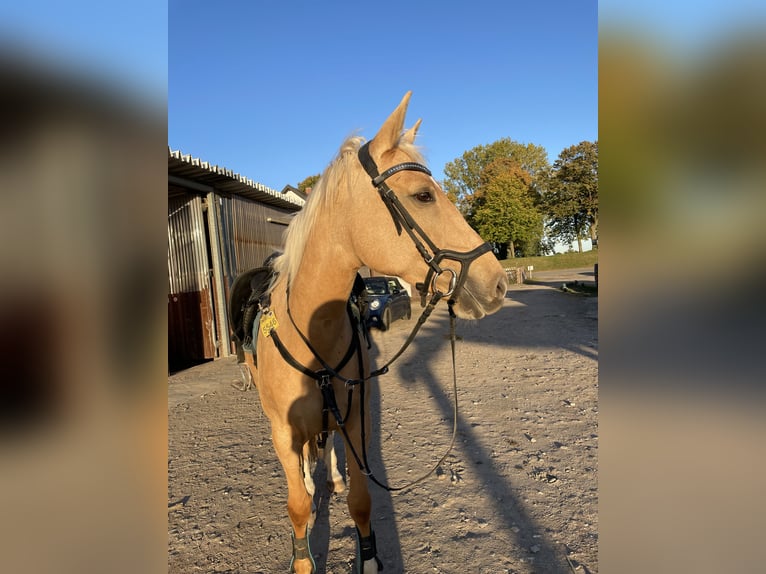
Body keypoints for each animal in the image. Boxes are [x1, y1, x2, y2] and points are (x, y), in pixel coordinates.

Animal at [231, 92, 508, 573]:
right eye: (423, 196)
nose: (497, 283)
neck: (313, 334)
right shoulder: (282, 433)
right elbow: (297, 506)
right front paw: (303, 552)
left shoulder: (356, 422)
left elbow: (361, 502)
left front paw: (370, 555)